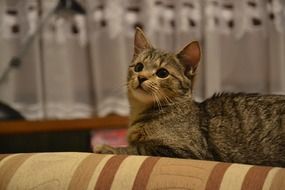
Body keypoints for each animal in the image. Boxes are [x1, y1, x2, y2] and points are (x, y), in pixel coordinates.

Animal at [95, 27, 284, 167]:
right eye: (138, 67)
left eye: (162, 73)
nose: (141, 77)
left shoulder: (186, 152)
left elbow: (138, 148)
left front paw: (107, 147)